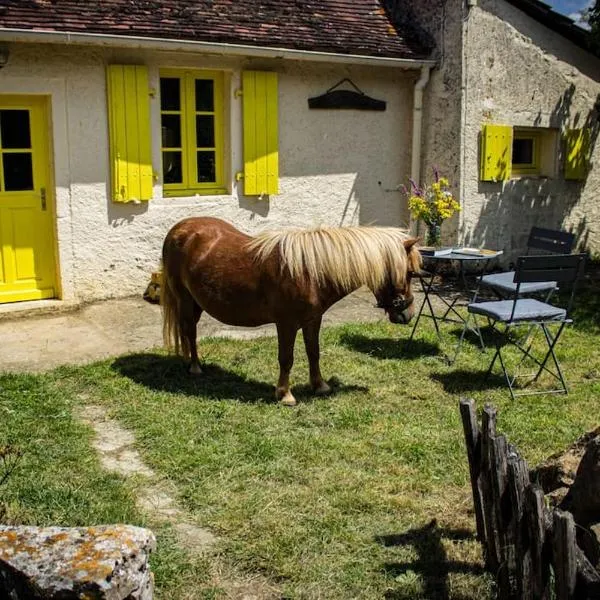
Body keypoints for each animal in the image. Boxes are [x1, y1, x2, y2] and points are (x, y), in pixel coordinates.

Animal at [162, 218, 420, 406]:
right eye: (409, 272)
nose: (407, 314)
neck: (310, 272)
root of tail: (179, 229)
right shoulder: (286, 324)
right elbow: (286, 358)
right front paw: (285, 394)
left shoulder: (313, 320)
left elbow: (314, 353)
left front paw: (319, 386)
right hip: (185, 300)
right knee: (190, 332)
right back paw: (195, 367)